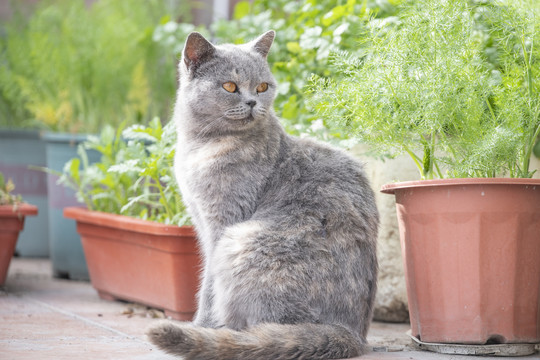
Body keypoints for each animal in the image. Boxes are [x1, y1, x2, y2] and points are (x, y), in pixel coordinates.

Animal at [146, 31, 378, 360]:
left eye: (262, 86)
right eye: (230, 86)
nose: (253, 101)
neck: (199, 146)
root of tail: (353, 334)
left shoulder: (222, 223)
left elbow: (208, 286)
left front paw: (200, 325)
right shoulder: (200, 220)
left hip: (239, 241)